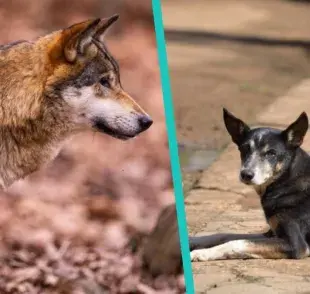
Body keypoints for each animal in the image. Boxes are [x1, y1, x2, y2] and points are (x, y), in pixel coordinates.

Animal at [190, 108, 310, 262]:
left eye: (271, 153)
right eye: (244, 149)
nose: (246, 174)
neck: (287, 179)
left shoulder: (295, 244)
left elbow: (237, 242)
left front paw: (202, 253)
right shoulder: (270, 233)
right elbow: (225, 235)